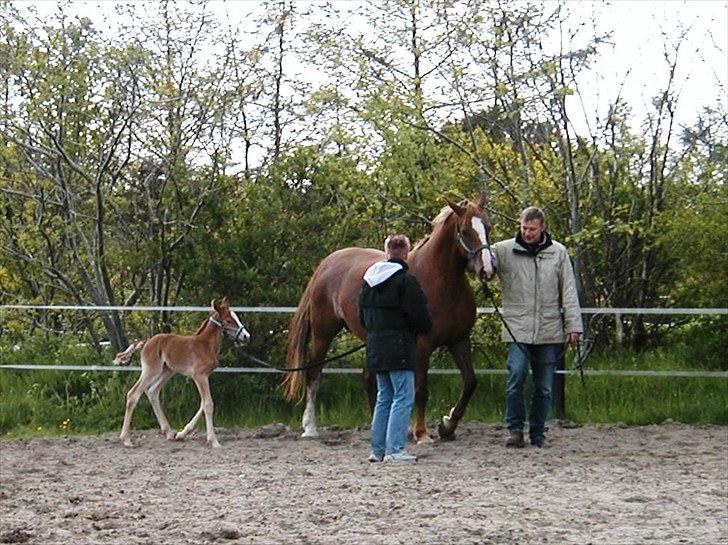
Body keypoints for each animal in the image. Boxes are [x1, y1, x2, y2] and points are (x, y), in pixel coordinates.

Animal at [112, 298, 250, 446]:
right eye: (229, 320)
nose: (246, 336)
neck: (206, 345)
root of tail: (146, 342)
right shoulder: (199, 376)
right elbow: (208, 404)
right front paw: (214, 441)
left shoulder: (205, 377)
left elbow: (203, 403)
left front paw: (182, 433)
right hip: (151, 370)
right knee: (133, 394)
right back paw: (126, 439)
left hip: (167, 371)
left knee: (152, 392)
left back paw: (168, 432)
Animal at [284, 196, 494, 442]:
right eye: (465, 231)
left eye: (488, 227)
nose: (488, 269)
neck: (440, 281)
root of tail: (326, 263)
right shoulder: (422, 345)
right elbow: (421, 389)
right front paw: (422, 433)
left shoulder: (459, 340)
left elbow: (470, 382)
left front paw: (447, 426)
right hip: (323, 333)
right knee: (314, 374)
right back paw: (310, 428)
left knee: (368, 378)